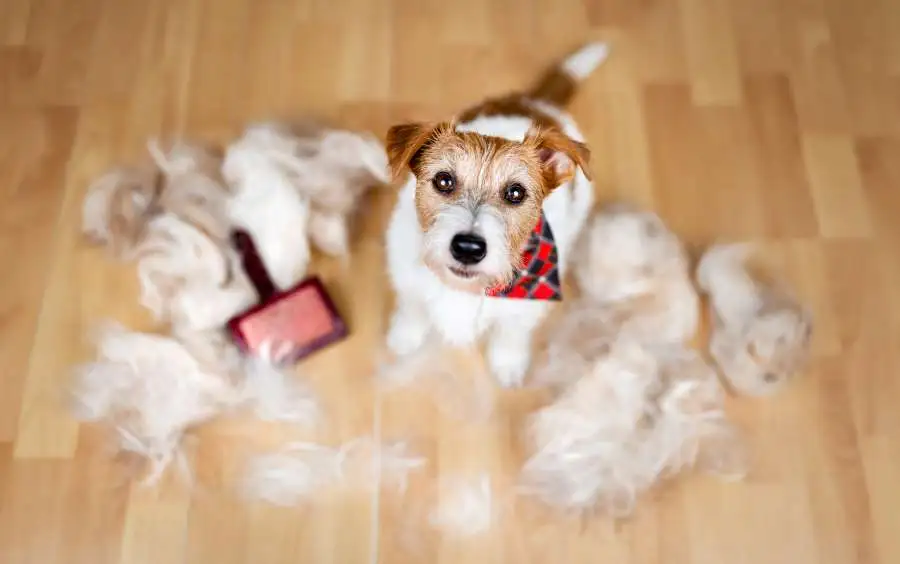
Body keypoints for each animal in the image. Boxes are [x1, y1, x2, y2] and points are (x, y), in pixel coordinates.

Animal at [386, 43, 612, 388]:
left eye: (515, 193)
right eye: (443, 180)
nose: (468, 248)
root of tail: (539, 104)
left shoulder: (523, 311)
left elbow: (511, 332)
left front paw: (507, 363)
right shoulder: (407, 281)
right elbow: (413, 309)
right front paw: (405, 336)